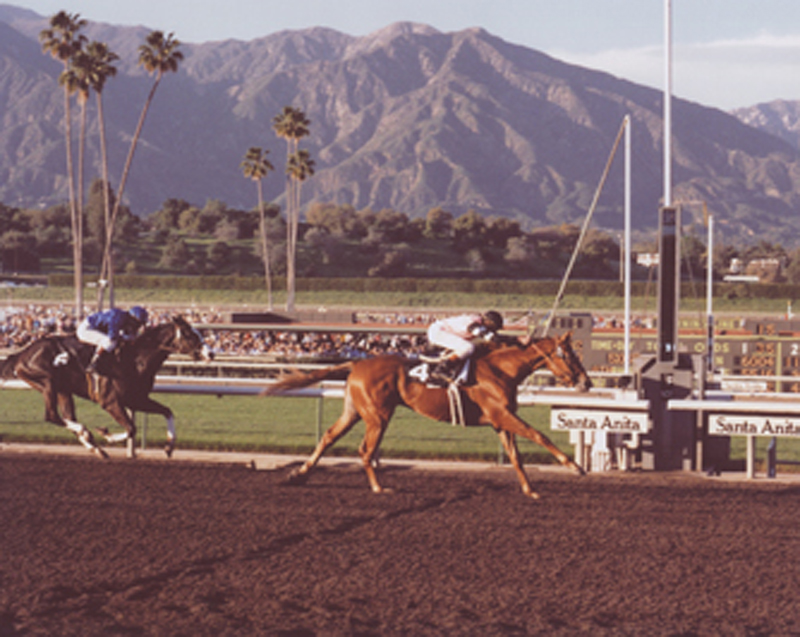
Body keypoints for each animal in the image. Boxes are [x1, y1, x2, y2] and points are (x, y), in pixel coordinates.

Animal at [0, 314, 212, 458]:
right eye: (189, 334)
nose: (210, 353)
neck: (134, 359)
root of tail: (21, 354)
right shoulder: (110, 402)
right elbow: (131, 428)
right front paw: (106, 434)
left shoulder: (137, 399)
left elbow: (167, 411)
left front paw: (169, 445)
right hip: (46, 382)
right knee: (51, 415)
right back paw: (86, 433)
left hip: (63, 389)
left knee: (66, 417)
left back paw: (93, 445)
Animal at [266, 330, 592, 500]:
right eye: (570, 356)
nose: (586, 383)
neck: (502, 370)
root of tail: (357, 364)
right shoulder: (501, 415)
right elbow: (539, 435)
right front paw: (575, 466)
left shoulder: (500, 421)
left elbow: (515, 456)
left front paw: (529, 489)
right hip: (377, 415)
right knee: (365, 450)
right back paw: (378, 487)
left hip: (355, 411)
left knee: (329, 437)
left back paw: (300, 474)